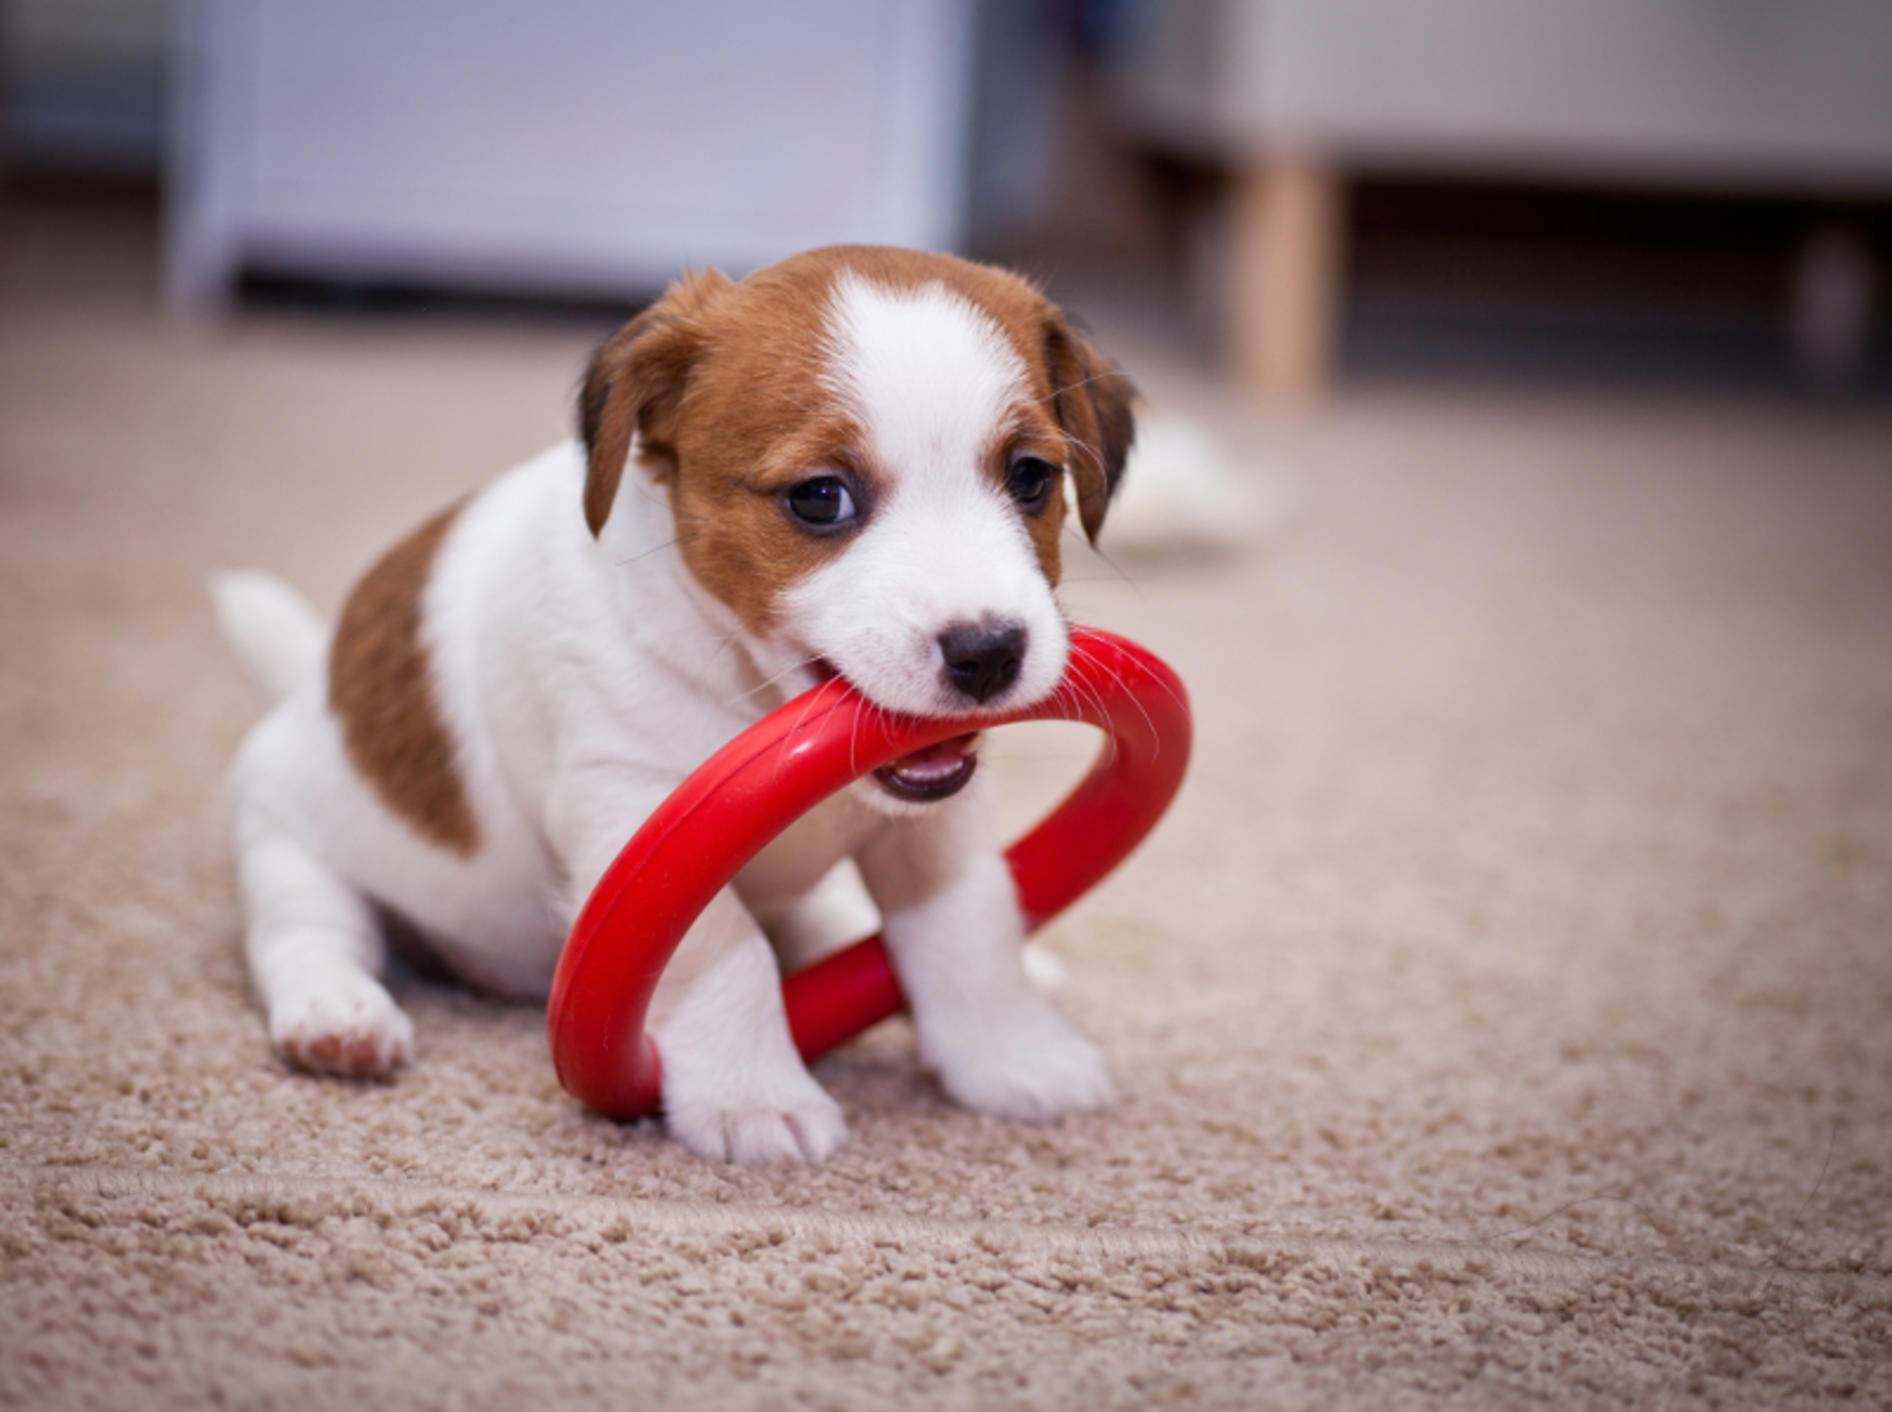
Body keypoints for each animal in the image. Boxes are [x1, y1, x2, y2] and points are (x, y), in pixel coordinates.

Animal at [221, 244, 1135, 1165]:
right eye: (820, 496)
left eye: (1031, 477)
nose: (990, 652)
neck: (745, 691)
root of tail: (310, 683)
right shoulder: (634, 816)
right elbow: (727, 951)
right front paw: (752, 1095)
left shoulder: (939, 829)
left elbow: (966, 927)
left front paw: (1011, 1054)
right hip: (286, 837)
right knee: (308, 927)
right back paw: (339, 1016)